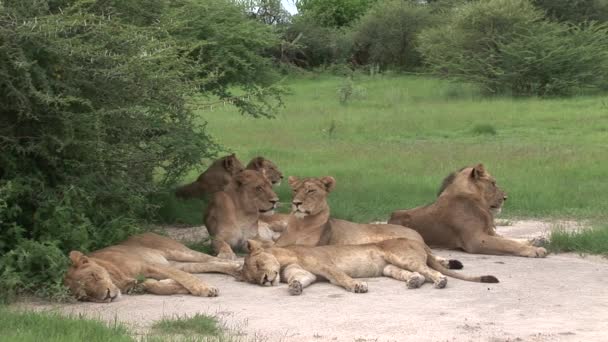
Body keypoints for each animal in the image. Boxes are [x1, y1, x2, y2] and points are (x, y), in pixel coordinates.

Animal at [63, 232, 240, 302]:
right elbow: (159, 286)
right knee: (209, 264)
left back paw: (239, 266)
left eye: (94, 276)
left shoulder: (150, 265)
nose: (107, 296)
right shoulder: (139, 279)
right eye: (85, 296)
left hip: (177, 252)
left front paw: (205, 289)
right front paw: (173, 286)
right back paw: (236, 270)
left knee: (212, 259)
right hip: (179, 263)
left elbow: (185, 279)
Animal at [390, 164, 552, 258]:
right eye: (493, 183)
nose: (506, 197)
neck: (476, 199)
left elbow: (507, 239)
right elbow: (506, 244)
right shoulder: (475, 240)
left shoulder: (488, 232)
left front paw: (532, 242)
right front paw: (535, 250)